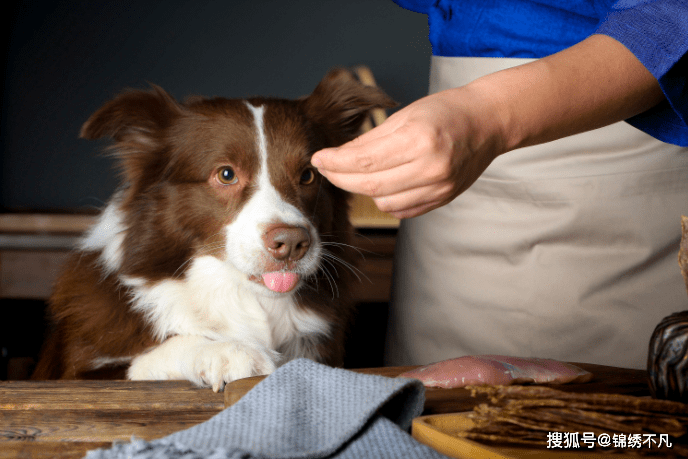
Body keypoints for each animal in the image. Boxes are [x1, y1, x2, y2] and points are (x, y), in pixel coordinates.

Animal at [32, 68, 396, 392]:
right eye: (226, 174)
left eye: (308, 175)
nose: (292, 243)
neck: (243, 297)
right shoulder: (74, 375)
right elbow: (143, 360)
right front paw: (225, 350)